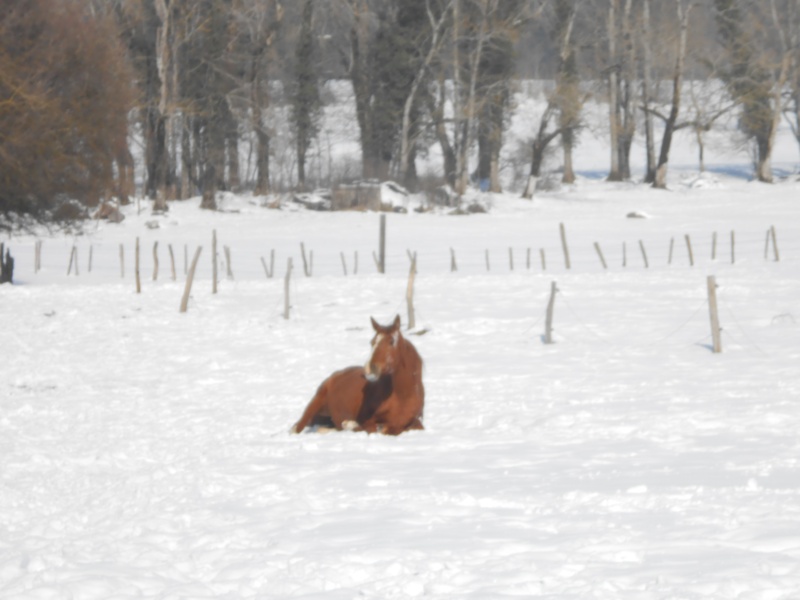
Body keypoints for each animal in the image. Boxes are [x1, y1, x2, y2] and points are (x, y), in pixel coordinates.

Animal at [290, 314, 424, 436]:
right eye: (372, 342)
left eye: (391, 341)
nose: (370, 368)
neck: (402, 395)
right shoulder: (368, 420)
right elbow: (372, 428)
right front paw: (350, 424)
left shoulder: (414, 421)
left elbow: (412, 427)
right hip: (317, 400)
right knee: (298, 427)